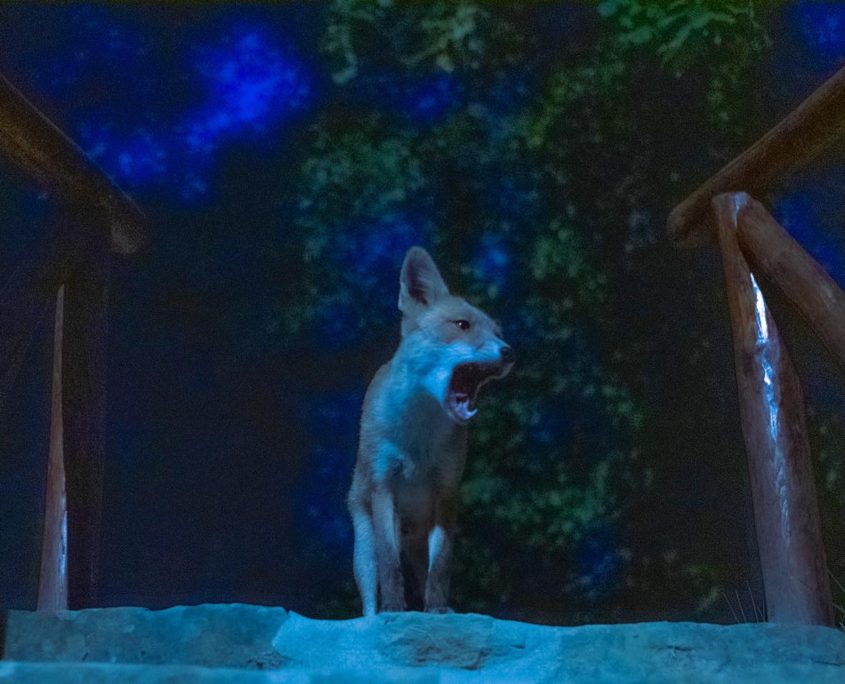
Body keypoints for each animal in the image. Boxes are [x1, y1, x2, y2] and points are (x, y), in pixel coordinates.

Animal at [347, 246, 514, 615]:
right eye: (462, 325)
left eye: (498, 332)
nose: (510, 352)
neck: (418, 440)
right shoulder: (384, 483)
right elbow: (390, 566)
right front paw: (394, 610)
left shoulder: (446, 488)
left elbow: (441, 568)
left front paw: (438, 610)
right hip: (364, 547)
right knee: (370, 591)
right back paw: (373, 616)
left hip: (418, 538)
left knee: (424, 572)